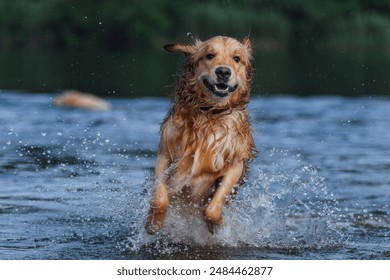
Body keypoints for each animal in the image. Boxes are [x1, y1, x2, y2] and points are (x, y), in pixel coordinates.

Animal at [145, 36, 254, 235]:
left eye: (236, 58)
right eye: (209, 55)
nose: (223, 72)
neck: (209, 114)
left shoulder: (235, 165)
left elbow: (211, 209)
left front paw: (219, 223)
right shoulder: (165, 155)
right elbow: (160, 196)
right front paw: (153, 223)